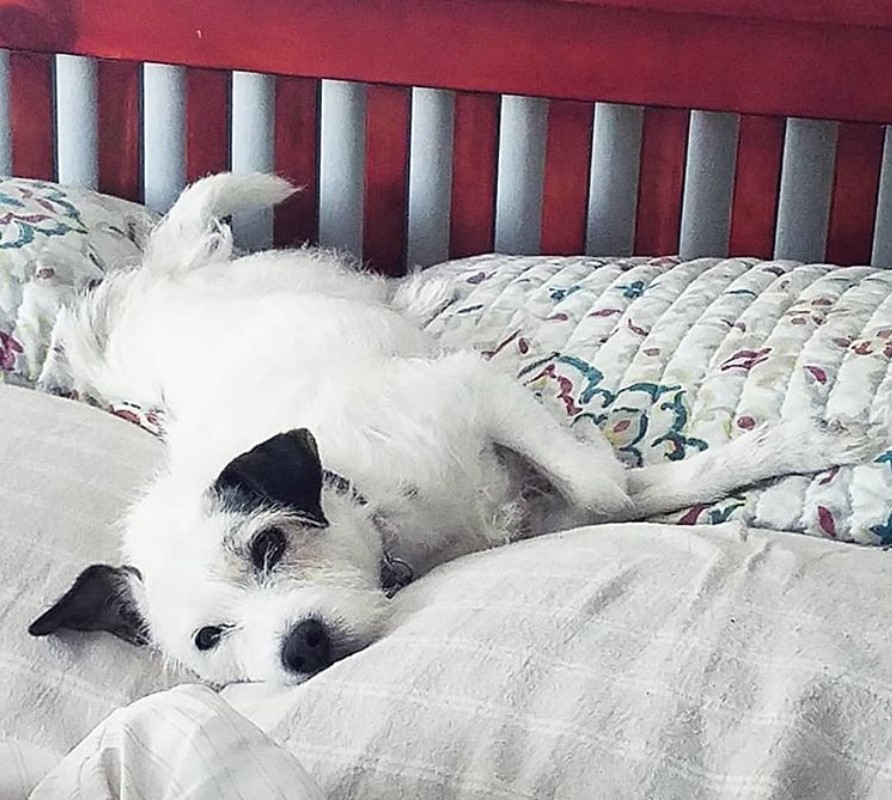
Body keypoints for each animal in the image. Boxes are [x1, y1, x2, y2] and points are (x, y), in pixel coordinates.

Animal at [27, 175, 884, 688]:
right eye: (208, 638)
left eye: (268, 545)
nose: (301, 647)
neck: (375, 508)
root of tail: (160, 285)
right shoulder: (539, 504)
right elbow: (628, 494)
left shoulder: (477, 390)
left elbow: (602, 485)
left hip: (317, 283)